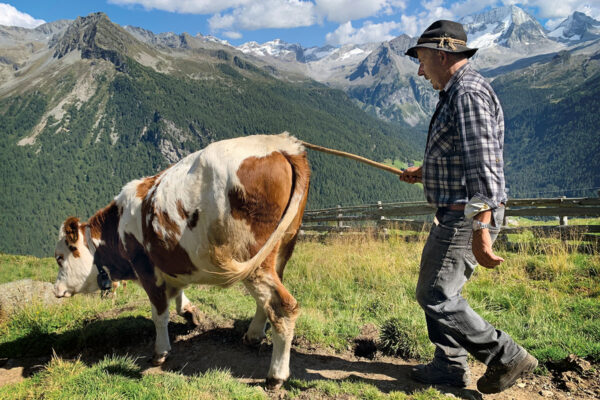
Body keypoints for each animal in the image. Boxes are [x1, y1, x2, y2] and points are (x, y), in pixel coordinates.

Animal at [52, 133, 310, 390]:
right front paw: (189, 312)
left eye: (59, 258)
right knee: (266, 301)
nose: (56, 289)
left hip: (254, 258)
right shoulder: (173, 261)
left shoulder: (146, 269)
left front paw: (160, 351)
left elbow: (159, 314)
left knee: (282, 306)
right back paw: (254, 335)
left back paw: (276, 375)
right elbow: (177, 293)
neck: (118, 227)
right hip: (281, 249)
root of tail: (280, 144)